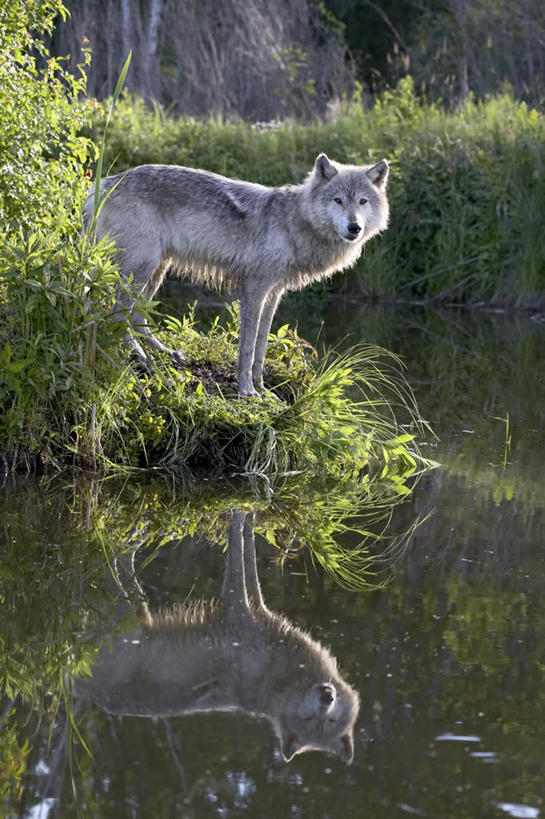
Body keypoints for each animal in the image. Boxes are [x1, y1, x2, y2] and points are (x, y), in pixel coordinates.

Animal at [75, 510, 356, 764]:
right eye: (308, 719)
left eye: (330, 720)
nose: (327, 696)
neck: (274, 679)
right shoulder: (240, 607)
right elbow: (242, 548)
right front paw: (243, 510)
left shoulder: (250, 609)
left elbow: (245, 556)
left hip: (137, 609)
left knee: (121, 554)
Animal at [85, 156, 388, 398]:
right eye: (338, 200)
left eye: (362, 201)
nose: (354, 227)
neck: (294, 223)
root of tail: (104, 183)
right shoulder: (254, 290)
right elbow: (247, 347)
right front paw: (246, 390)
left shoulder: (273, 294)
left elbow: (261, 345)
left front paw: (262, 386)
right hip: (142, 269)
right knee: (118, 317)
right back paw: (143, 359)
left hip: (157, 271)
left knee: (136, 317)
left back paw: (165, 353)